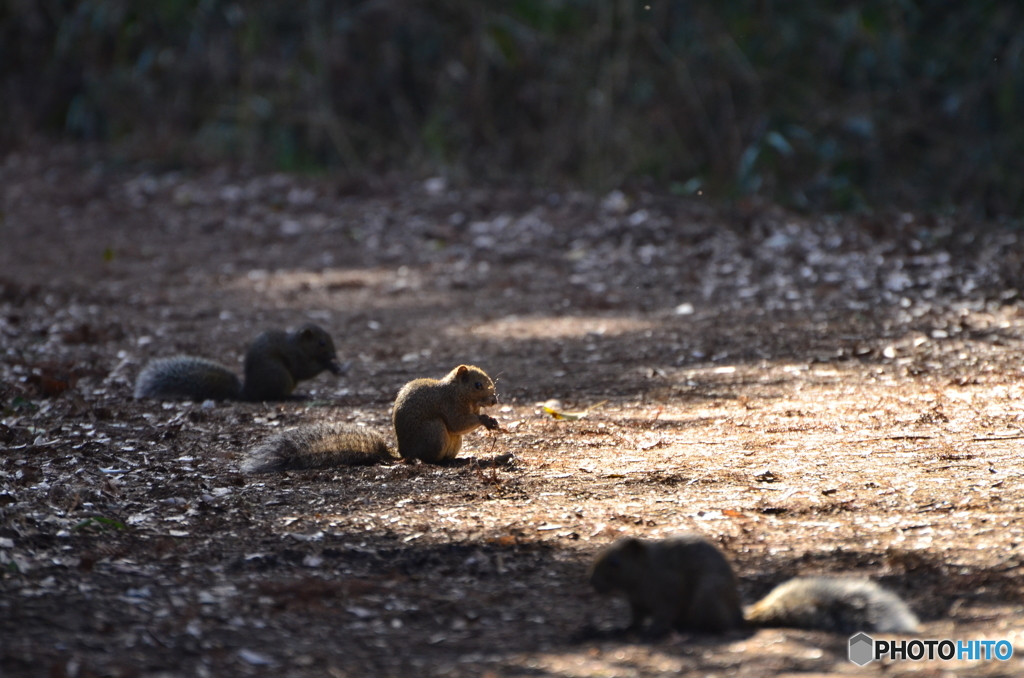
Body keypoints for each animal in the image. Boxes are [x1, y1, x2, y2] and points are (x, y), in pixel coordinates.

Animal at [134, 325, 342, 403]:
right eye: (321, 343)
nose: (334, 354)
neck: (298, 344)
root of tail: (248, 392)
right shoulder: (295, 355)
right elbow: (303, 370)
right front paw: (328, 365)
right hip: (279, 376)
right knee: (275, 396)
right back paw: (295, 396)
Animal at [236, 364, 499, 471]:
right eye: (477, 385)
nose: (494, 401)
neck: (458, 392)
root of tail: (402, 453)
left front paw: (491, 420)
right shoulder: (448, 404)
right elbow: (457, 422)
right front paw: (485, 420)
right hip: (434, 432)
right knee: (429, 457)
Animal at [593, 536, 921, 639]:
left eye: (616, 562)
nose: (593, 583)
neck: (643, 573)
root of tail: (739, 615)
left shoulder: (666, 591)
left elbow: (664, 614)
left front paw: (652, 631)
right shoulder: (636, 601)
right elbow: (635, 617)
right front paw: (626, 628)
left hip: (706, 599)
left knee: (716, 626)